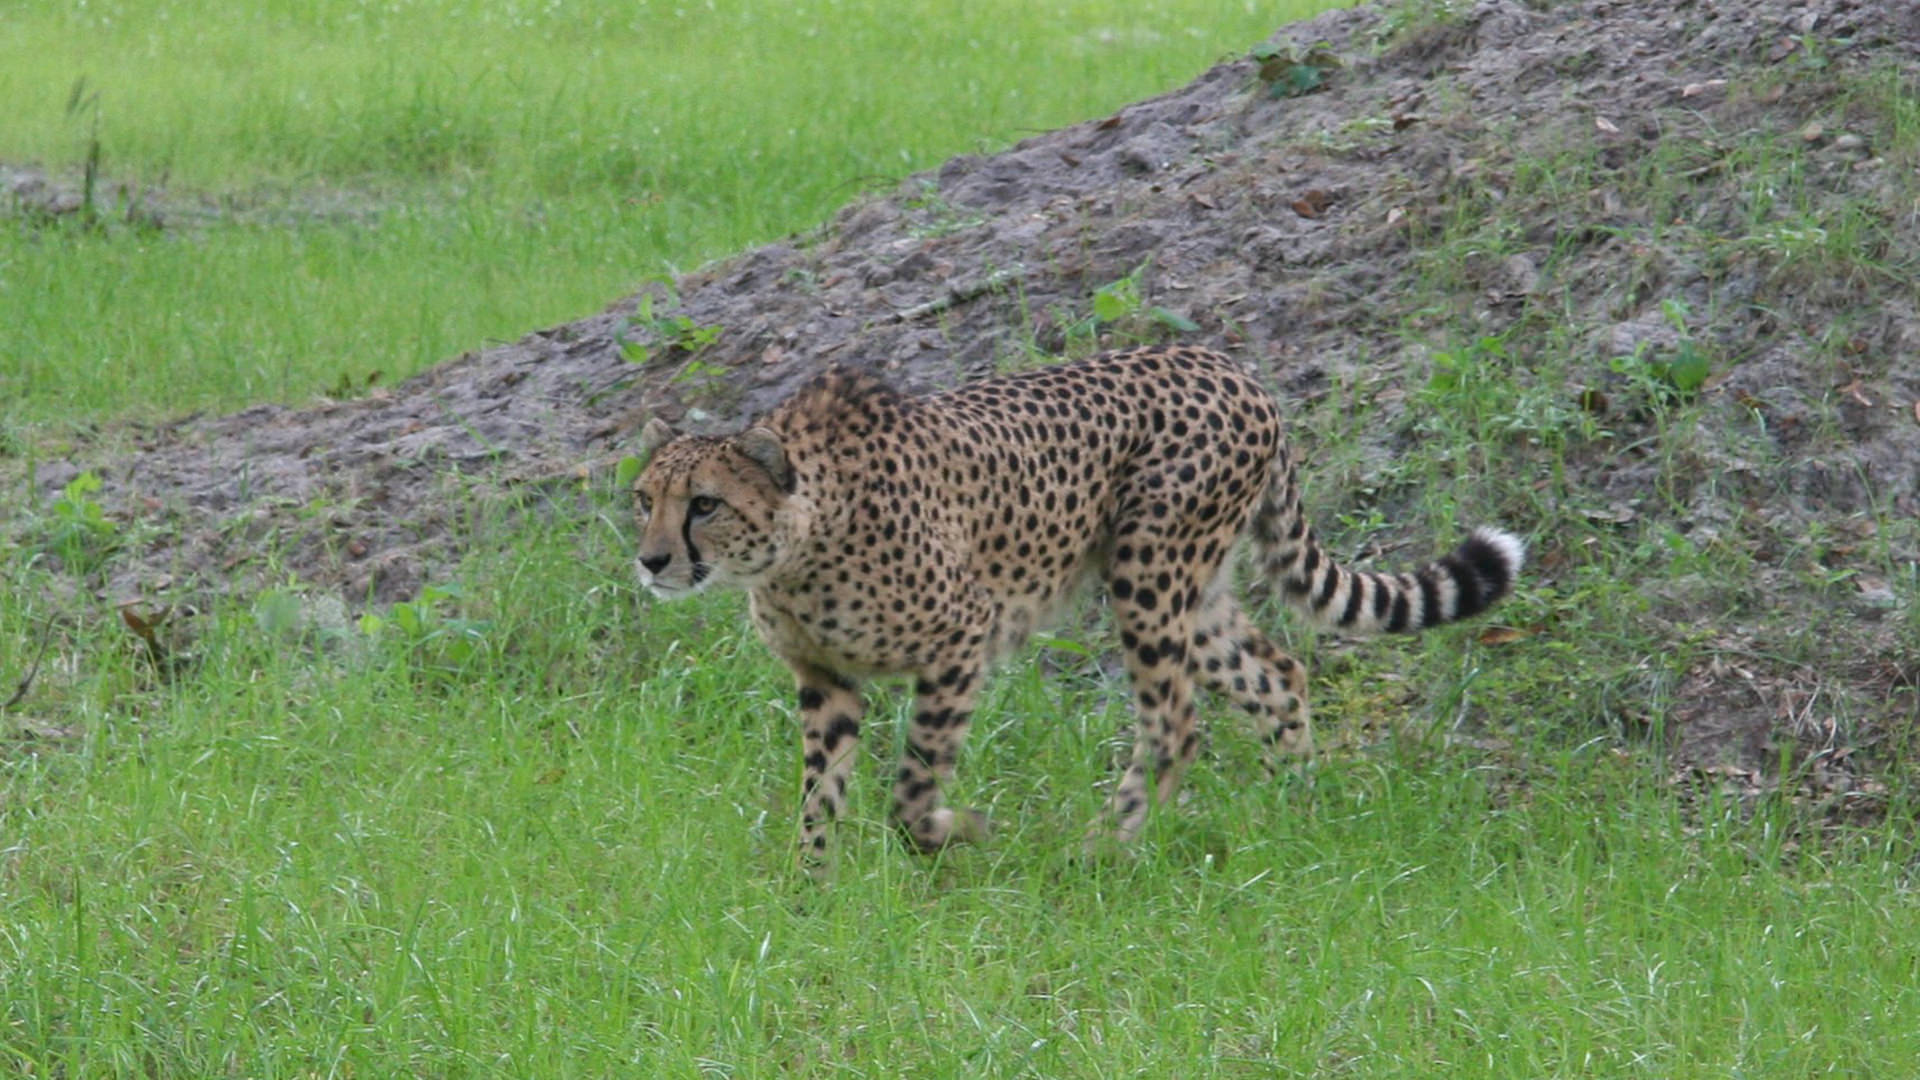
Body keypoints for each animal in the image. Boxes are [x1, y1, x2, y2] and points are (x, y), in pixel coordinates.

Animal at [631, 345, 1524, 865]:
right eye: (644, 499)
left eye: (705, 504)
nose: (650, 560)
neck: (798, 544)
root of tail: (1231, 366)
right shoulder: (825, 679)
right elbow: (821, 793)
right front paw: (808, 889)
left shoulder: (961, 639)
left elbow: (912, 787)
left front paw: (953, 833)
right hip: (1191, 589)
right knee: (1277, 673)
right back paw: (1290, 807)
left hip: (1149, 570)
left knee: (1175, 723)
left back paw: (1102, 847)